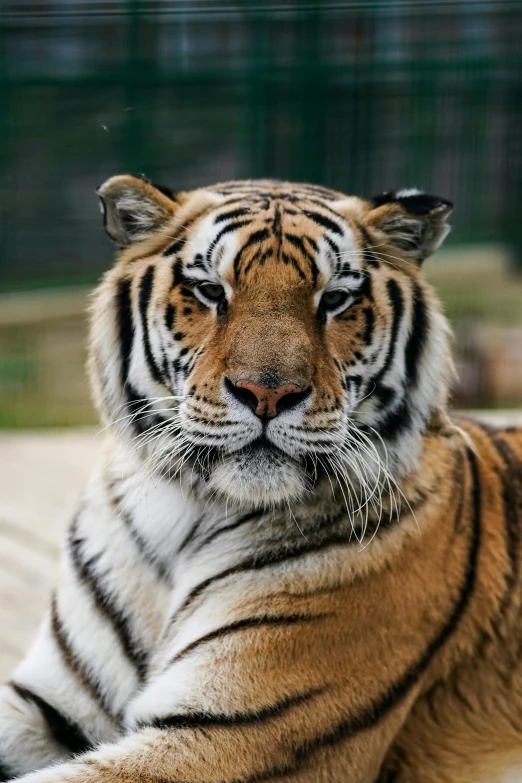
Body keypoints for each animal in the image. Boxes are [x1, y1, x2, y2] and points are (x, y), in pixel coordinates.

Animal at [1, 176, 520, 783]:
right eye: (209, 291)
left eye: (335, 299)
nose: (268, 393)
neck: (187, 515)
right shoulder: (48, 703)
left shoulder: (235, 734)